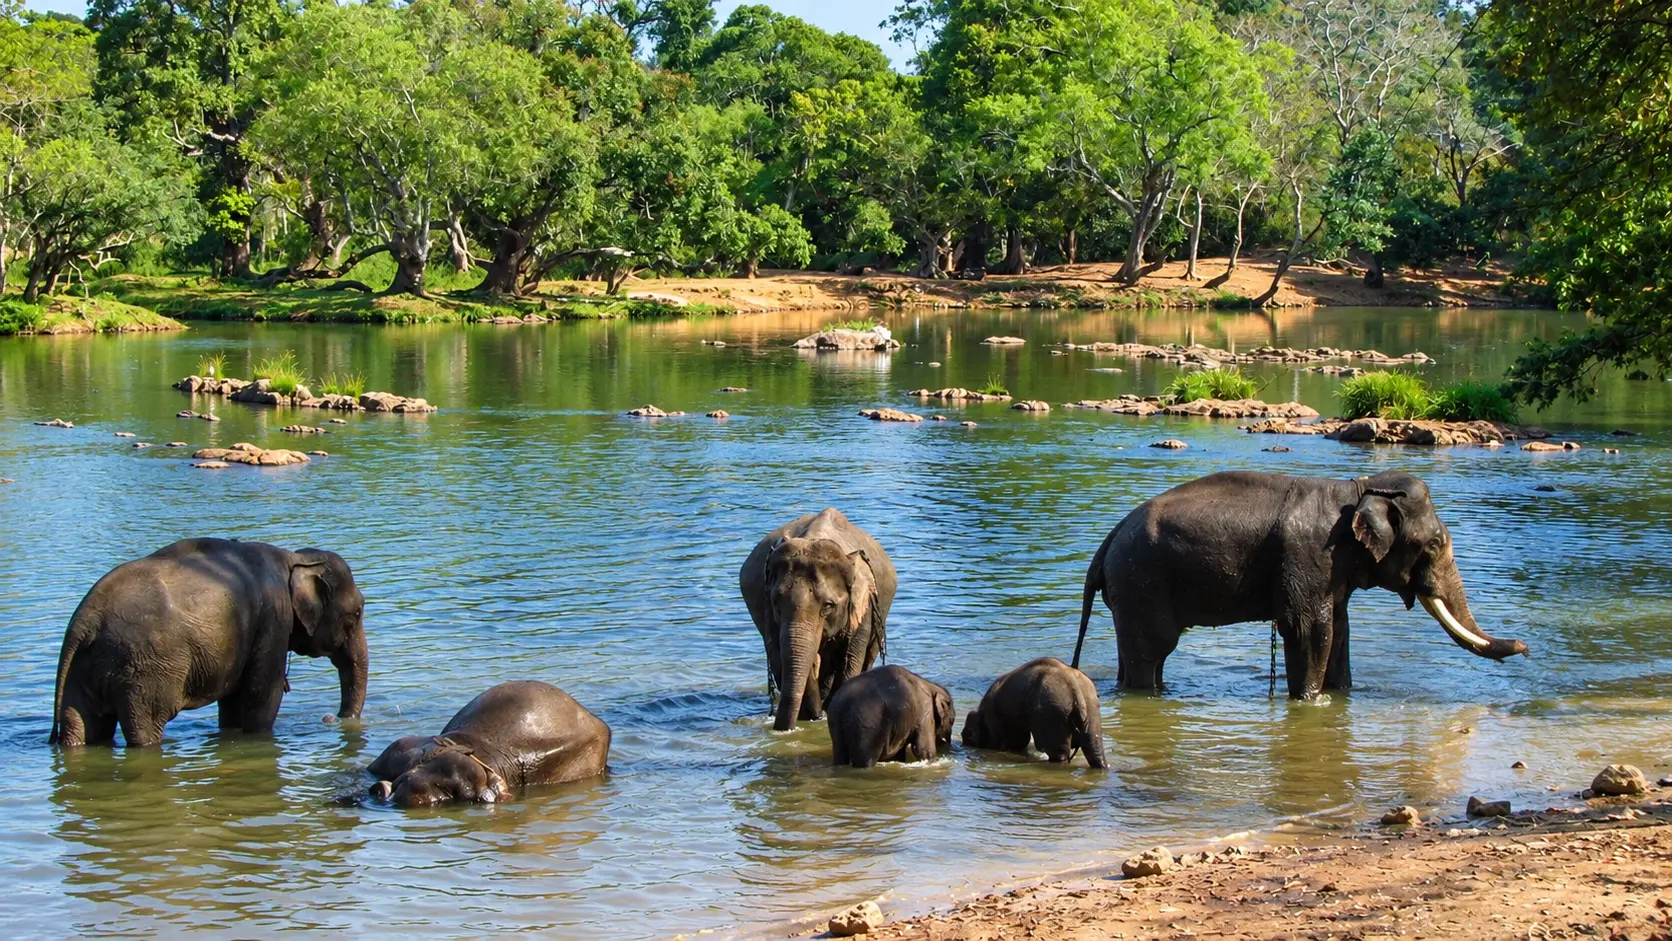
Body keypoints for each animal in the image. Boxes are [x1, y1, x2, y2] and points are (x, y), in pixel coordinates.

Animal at [49, 538, 368, 747]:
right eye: (357, 613)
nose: (335, 719)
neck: (293, 557)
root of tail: (85, 620)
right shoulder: (273, 617)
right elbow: (262, 693)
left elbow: (234, 701)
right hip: (144, 670)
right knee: (145, 727)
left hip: (84, 669)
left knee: (81, 726)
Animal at [825, 665, 954, 767]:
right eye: (952, 721)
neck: (931, 685)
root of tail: (845, 703)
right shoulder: (926, 713)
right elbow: (924, 750)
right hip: (868, 725)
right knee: (865, 760)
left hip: (835, 720)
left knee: (840, 754)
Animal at [961, 657, 1108, 768]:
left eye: (968, 737)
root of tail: (1074, 687)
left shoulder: (996, 719)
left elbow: (1012, 741)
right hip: (1091, 707)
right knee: (1094, 747)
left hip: (1051, 712)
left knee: (1057, 753)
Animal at [1072, 470, 1529, 700]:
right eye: (1433, 545)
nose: (1525, 647)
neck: (1357, 488)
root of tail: (1107, 542)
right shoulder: (1310, 556)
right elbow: (1310, 630)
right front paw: (1313, 703)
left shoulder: (1333, 569)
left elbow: (1340, 631)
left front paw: (1342, 695)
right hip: (1141, 584)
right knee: (1152, 653)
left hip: (1132, 591)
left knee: (1138, 657)